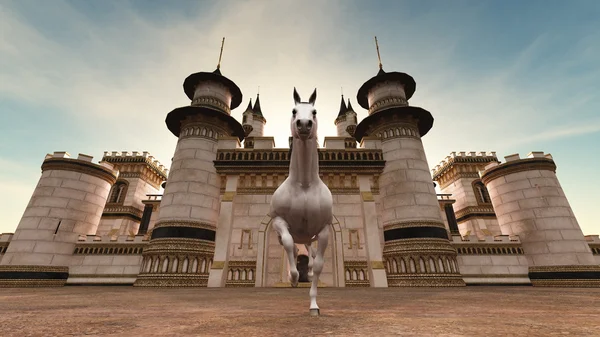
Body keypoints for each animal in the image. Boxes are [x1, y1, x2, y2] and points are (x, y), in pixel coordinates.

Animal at [270, 86, 336, 316]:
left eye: (314, 112)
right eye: (294, 110)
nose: (304, 124)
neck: (305, 185)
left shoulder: (324, 230)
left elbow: (318, 265)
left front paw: (314, 305)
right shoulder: (279, 221)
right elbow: (290, 244)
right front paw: (293, 277)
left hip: (311, 235)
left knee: (310, 250)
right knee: (293, 246)